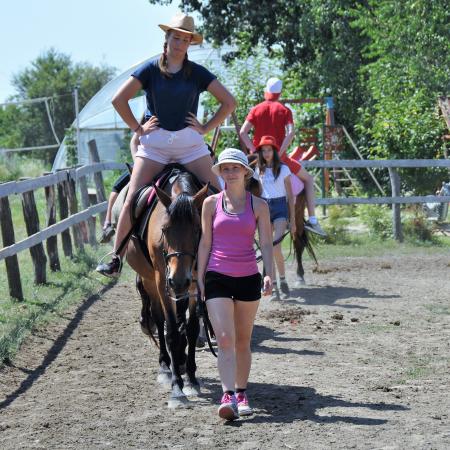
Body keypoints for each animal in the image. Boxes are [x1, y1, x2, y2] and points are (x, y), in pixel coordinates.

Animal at [125, 169, 208, 408]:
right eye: (164, 229)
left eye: (198, 229)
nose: (178, 281)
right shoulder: (162, 281)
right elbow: (169, 330)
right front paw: (177, 388)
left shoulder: (194, 282)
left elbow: (191, 328)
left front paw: (190, 379)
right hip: (151, 282)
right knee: (158, 318)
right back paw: (165, 365)